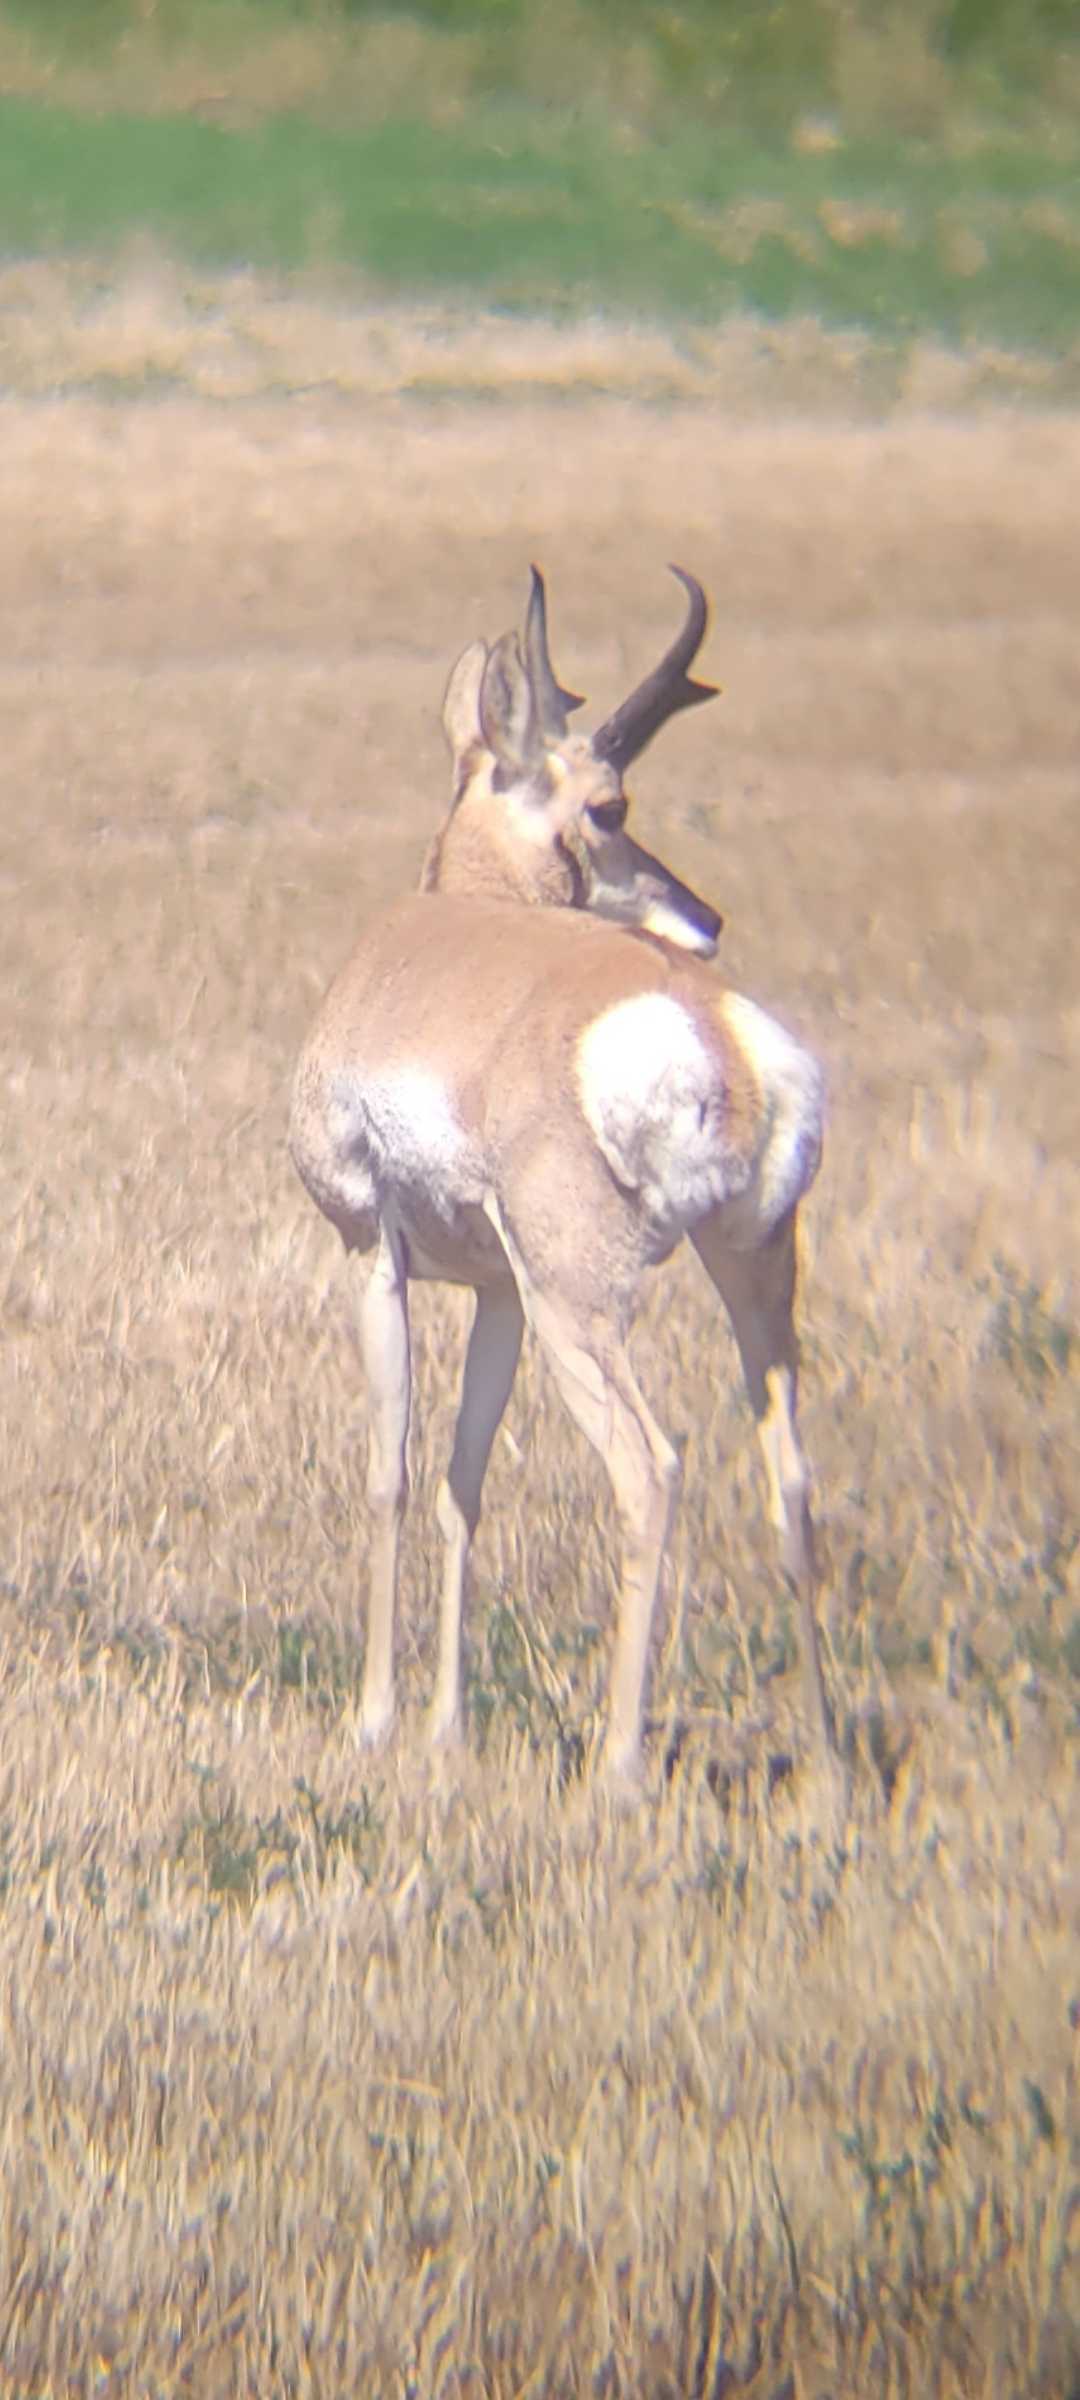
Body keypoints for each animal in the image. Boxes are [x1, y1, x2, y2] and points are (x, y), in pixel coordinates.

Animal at [290, 570, 835, 1784]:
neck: (447, 917)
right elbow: (464, 1484)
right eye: (613, 807)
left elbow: (393, 1475)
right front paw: (445, 1726)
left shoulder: (371, 1252)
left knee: (654, 1467)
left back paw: (619, 1768)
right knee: (792, 1484)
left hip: (581, 1308)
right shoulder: (498, 1293)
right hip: (749, 1283)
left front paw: (377, 1720)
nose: (706, 917)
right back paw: (828, 1777)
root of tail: (712, 1028)